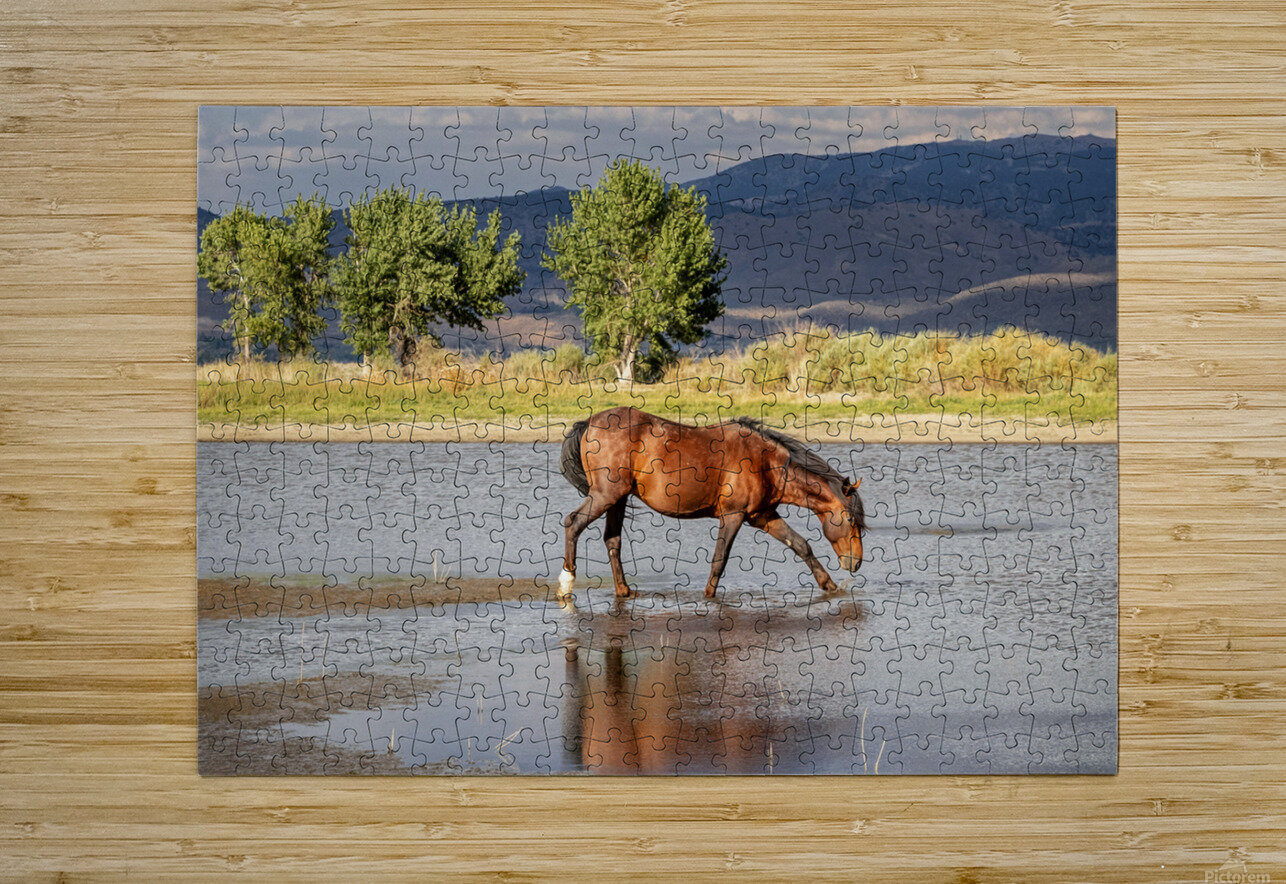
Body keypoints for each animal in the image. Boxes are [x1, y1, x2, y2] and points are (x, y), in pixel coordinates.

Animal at [557, 406, 865, 599]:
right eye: (851, 520)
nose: (856, 563)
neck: (767, 464)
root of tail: (589, 423)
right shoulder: (733, 516)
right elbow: (720, 559)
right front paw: (708, 596)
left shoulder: (764, 516)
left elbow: (801, 545)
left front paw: (829, 585)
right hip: (604, 496)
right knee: (573, 524)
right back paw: (565, 584)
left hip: (617, 500)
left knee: (612, 540)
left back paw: (624, 591)